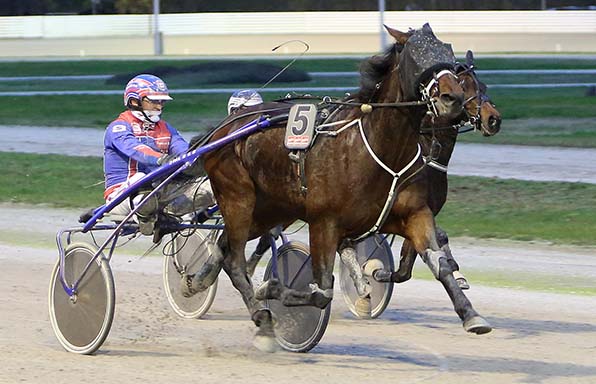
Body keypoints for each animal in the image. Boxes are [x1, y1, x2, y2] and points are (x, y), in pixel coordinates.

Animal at [185, 23, 488, 348]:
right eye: (416, 55)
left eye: (447, 51)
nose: (452, 98)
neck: (381, 149)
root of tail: (225, 127)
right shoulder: (325, 222)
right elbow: (321, 291)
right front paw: (273, 290)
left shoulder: (413, 214)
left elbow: (438, 262)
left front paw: (471, 314)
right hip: (238, 199)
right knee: (236, 261)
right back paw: (261, 317)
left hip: (269, 209)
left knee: (225, 247)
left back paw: (199, 281)